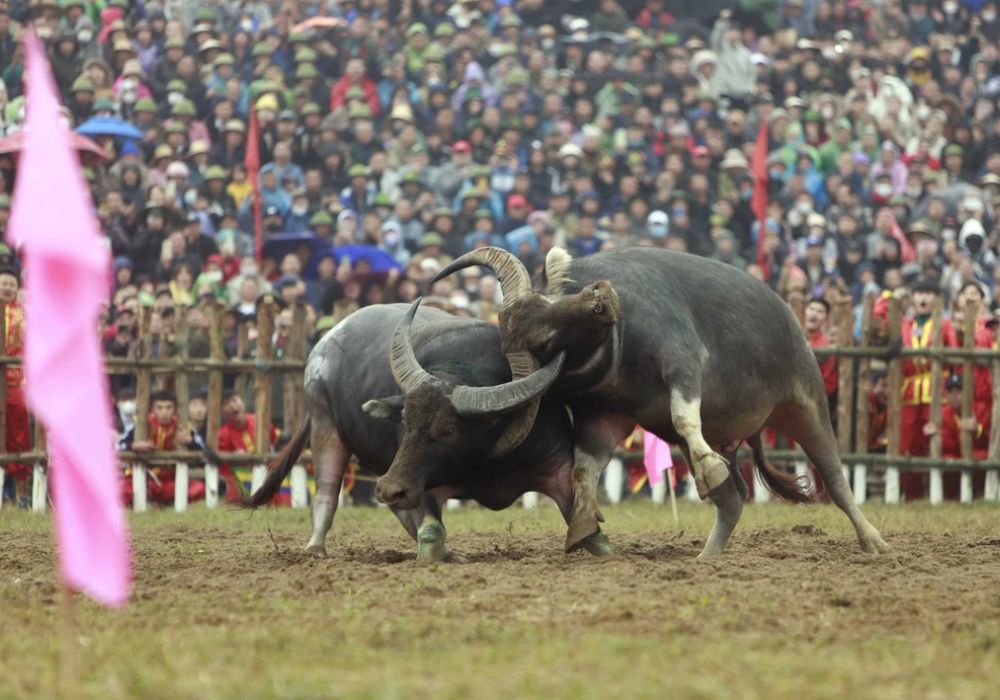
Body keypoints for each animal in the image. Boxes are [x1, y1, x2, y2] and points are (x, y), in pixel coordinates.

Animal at [246, 302, 612, 564]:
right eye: (405, 421)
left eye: (448, 430)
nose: (389, 488)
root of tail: (325, 341)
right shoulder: (419, 481)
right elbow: (432, 530)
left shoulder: (556, 465)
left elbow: (587, 524)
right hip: (326, 425)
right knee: (326, 491)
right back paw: (315, 550)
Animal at [432, 246, 892, 556]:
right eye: (543, 340)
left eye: (550, 301)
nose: (602, 298)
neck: (621, 345)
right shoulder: (604, 415)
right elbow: (584, 468)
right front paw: (583, 525)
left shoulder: (684, 365)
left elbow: (684, 416)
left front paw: (707, 469)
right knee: (734, 497)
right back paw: (708, 555)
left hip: (805, 402)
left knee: (835, 480)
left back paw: (873, 540)